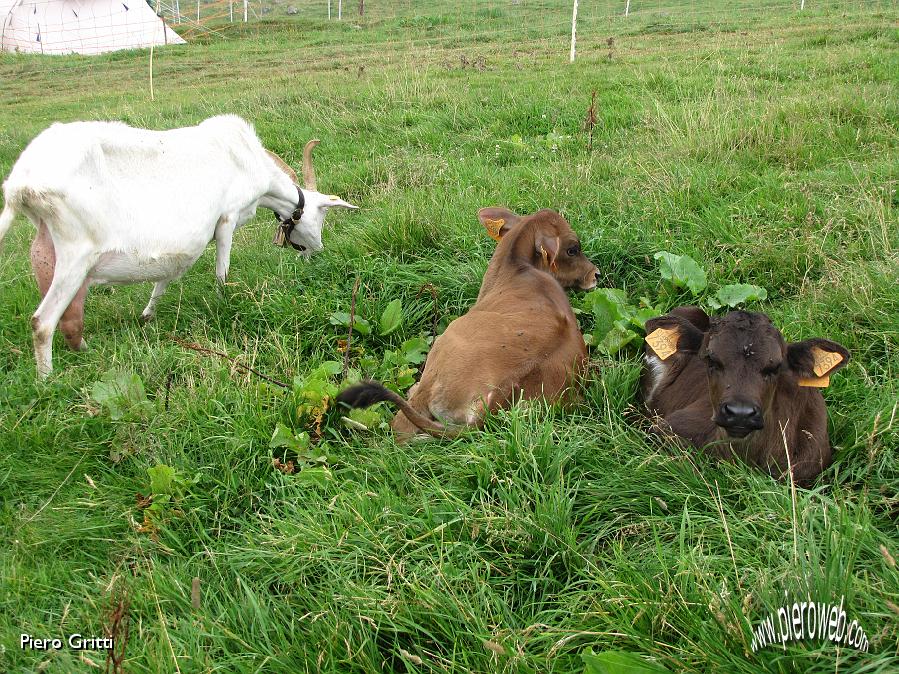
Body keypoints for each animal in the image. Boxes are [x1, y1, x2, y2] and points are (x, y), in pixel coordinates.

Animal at [0, 115, 358, 378]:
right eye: (320, 216)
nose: (317, 251)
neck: (247, 161)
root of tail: (19, 184)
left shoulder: (183, 250)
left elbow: (165, 279)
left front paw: (147, 315)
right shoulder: (226, 219)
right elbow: (222, 273)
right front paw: (223, 304)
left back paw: (85, 350)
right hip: (76, 254)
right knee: (42, 323)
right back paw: (47, 381)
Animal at [338, 209, 596, 440]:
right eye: (573, 250)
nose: (596, 274)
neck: (516, 270)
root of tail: (496, 400)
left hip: (438, 356)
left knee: (401, 429)